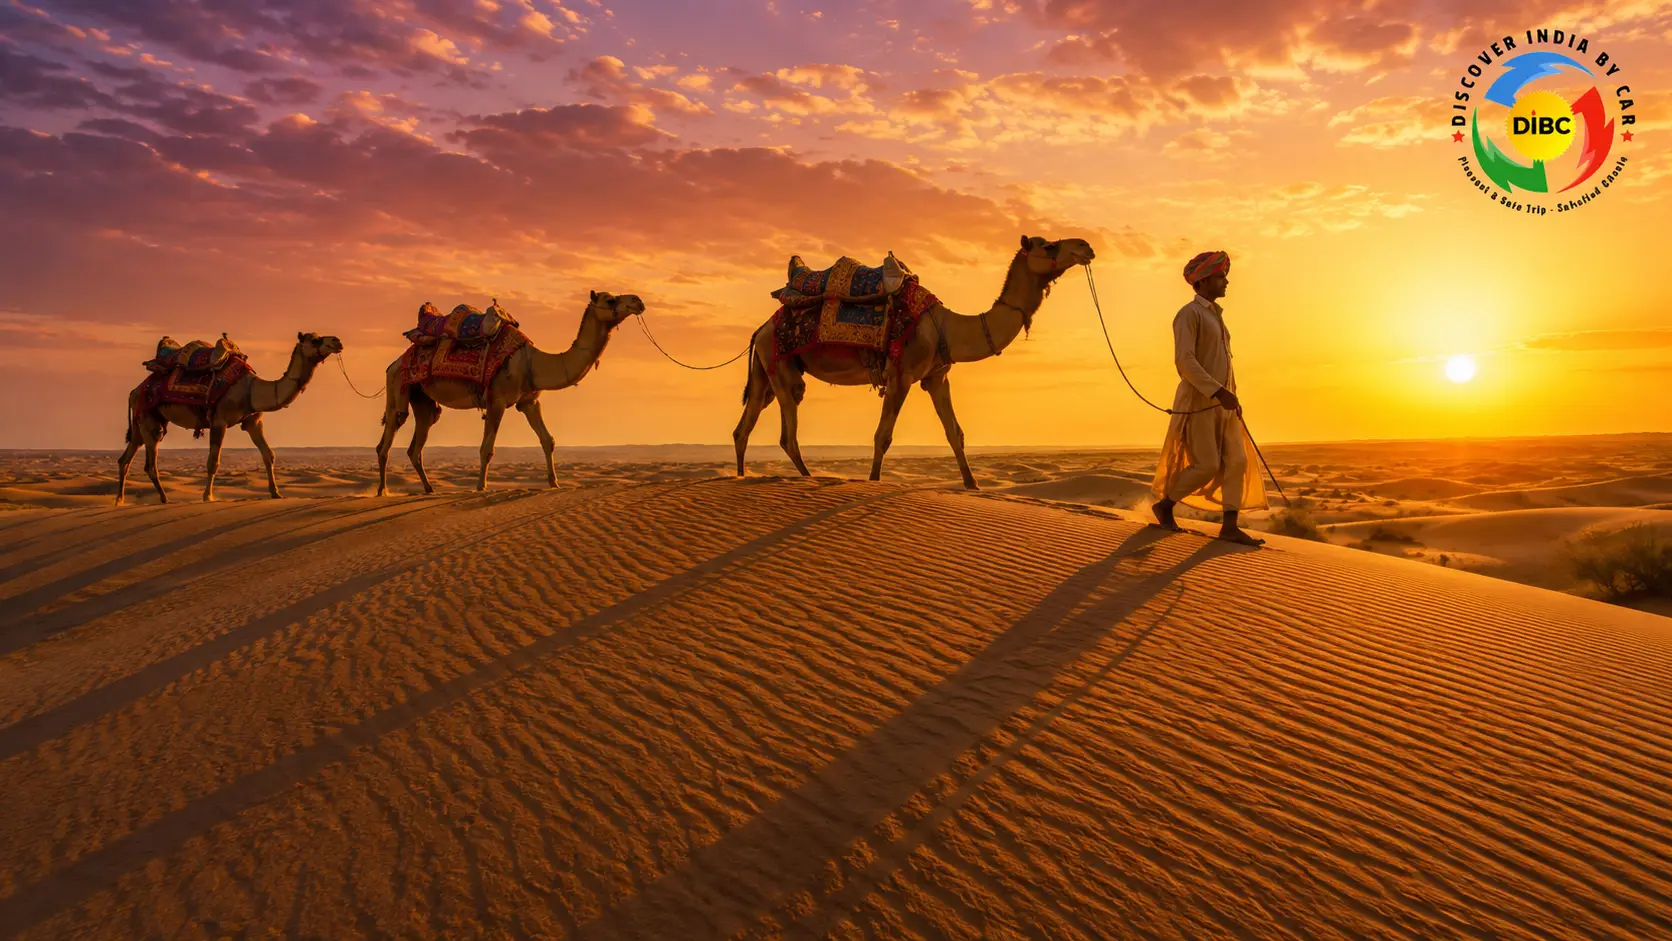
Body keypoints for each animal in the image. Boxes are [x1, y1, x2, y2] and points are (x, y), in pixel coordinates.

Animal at [117, 332, 345, 505]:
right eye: (315, 340)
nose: (337, 341)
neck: (251, 390)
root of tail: (133, 391)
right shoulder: (219, 421)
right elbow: (213, 461)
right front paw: (207, 496)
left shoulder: (254, 421)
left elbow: (269, 455)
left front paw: (276, 493)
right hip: (149, 419)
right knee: (150, 461)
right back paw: (164, 499)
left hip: (142, 420)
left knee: (125, 458)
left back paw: (119, 500)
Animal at [375, 290, 644, 495]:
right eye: (610, 300)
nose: (638, 301)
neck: (530, 362)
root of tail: (393, 363)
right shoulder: (496, 400)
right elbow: (487, 448)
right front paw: (480, 487)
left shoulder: (529, 401)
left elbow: (548, 440)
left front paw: (554, 483)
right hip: (398, 385)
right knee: (387, 439)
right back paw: (382, 491)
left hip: (423, 400)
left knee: (417, 441)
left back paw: (429, 489)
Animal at [734, 234, 1096, 489]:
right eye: (1049, 246)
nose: (1086, 246)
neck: (944, 327)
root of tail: (761, 329)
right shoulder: (901, 374)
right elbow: (883, 436)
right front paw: (874, 482)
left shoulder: (936, 376)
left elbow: (955, 432)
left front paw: (973, 486)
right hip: (781, 368)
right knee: (787, 434)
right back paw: (806, 477)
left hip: (766, 372)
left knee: (744, 427)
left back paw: (740, 477)